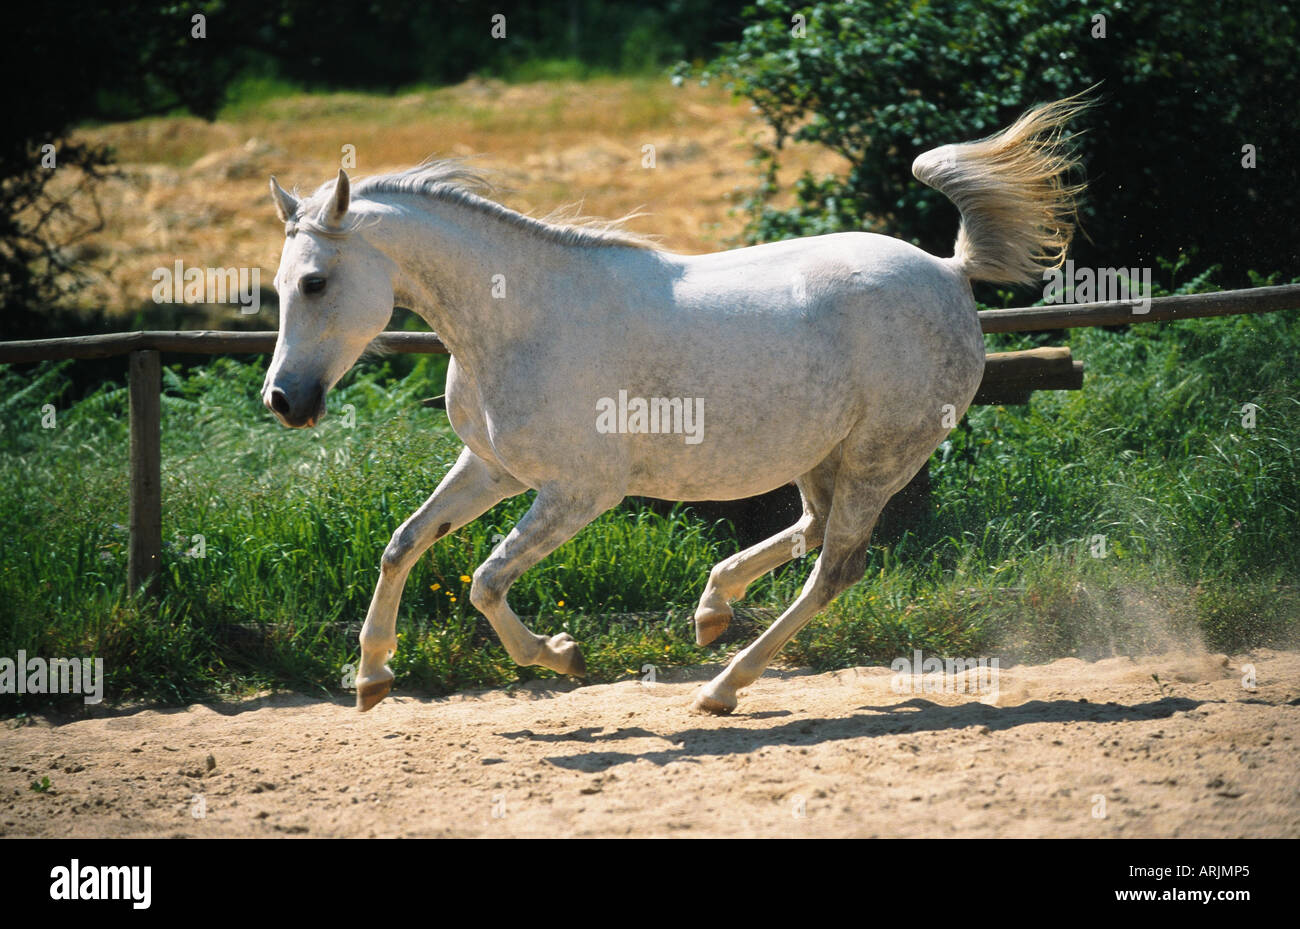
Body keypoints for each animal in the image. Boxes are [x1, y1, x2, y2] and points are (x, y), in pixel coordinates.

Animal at [263, 94, 1089, 715]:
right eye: (275, 285)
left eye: (314, 282)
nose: (283, 400)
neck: (519, 319)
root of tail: (950, 273)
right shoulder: (492, 467)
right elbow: (403, 543)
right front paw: (372, 679)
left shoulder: (580, 491)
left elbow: (485, 580)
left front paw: (561, 655)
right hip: (821, 455)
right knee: (811, 531)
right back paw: (712, 608)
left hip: (879, 460)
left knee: (834, 569)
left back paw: (722, 686)